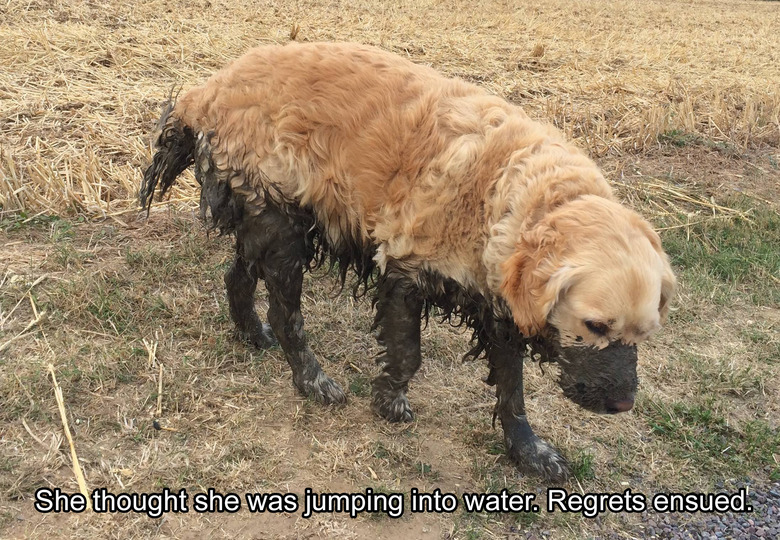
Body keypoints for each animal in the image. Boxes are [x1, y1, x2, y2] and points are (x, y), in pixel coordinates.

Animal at [142, 41, 676, 480]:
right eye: (595, 326)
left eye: (646, 333)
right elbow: (407, 354)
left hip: (265, 222)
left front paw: (528, 451)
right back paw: (313, 380)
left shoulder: (497, 307)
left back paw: (252, 333)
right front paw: (389, 402)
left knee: (236, 276)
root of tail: (208, 89)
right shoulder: (405, 270)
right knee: (285, 312)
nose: (623, 404)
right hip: (283, 227)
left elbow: (513, 391)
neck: (508, 191)